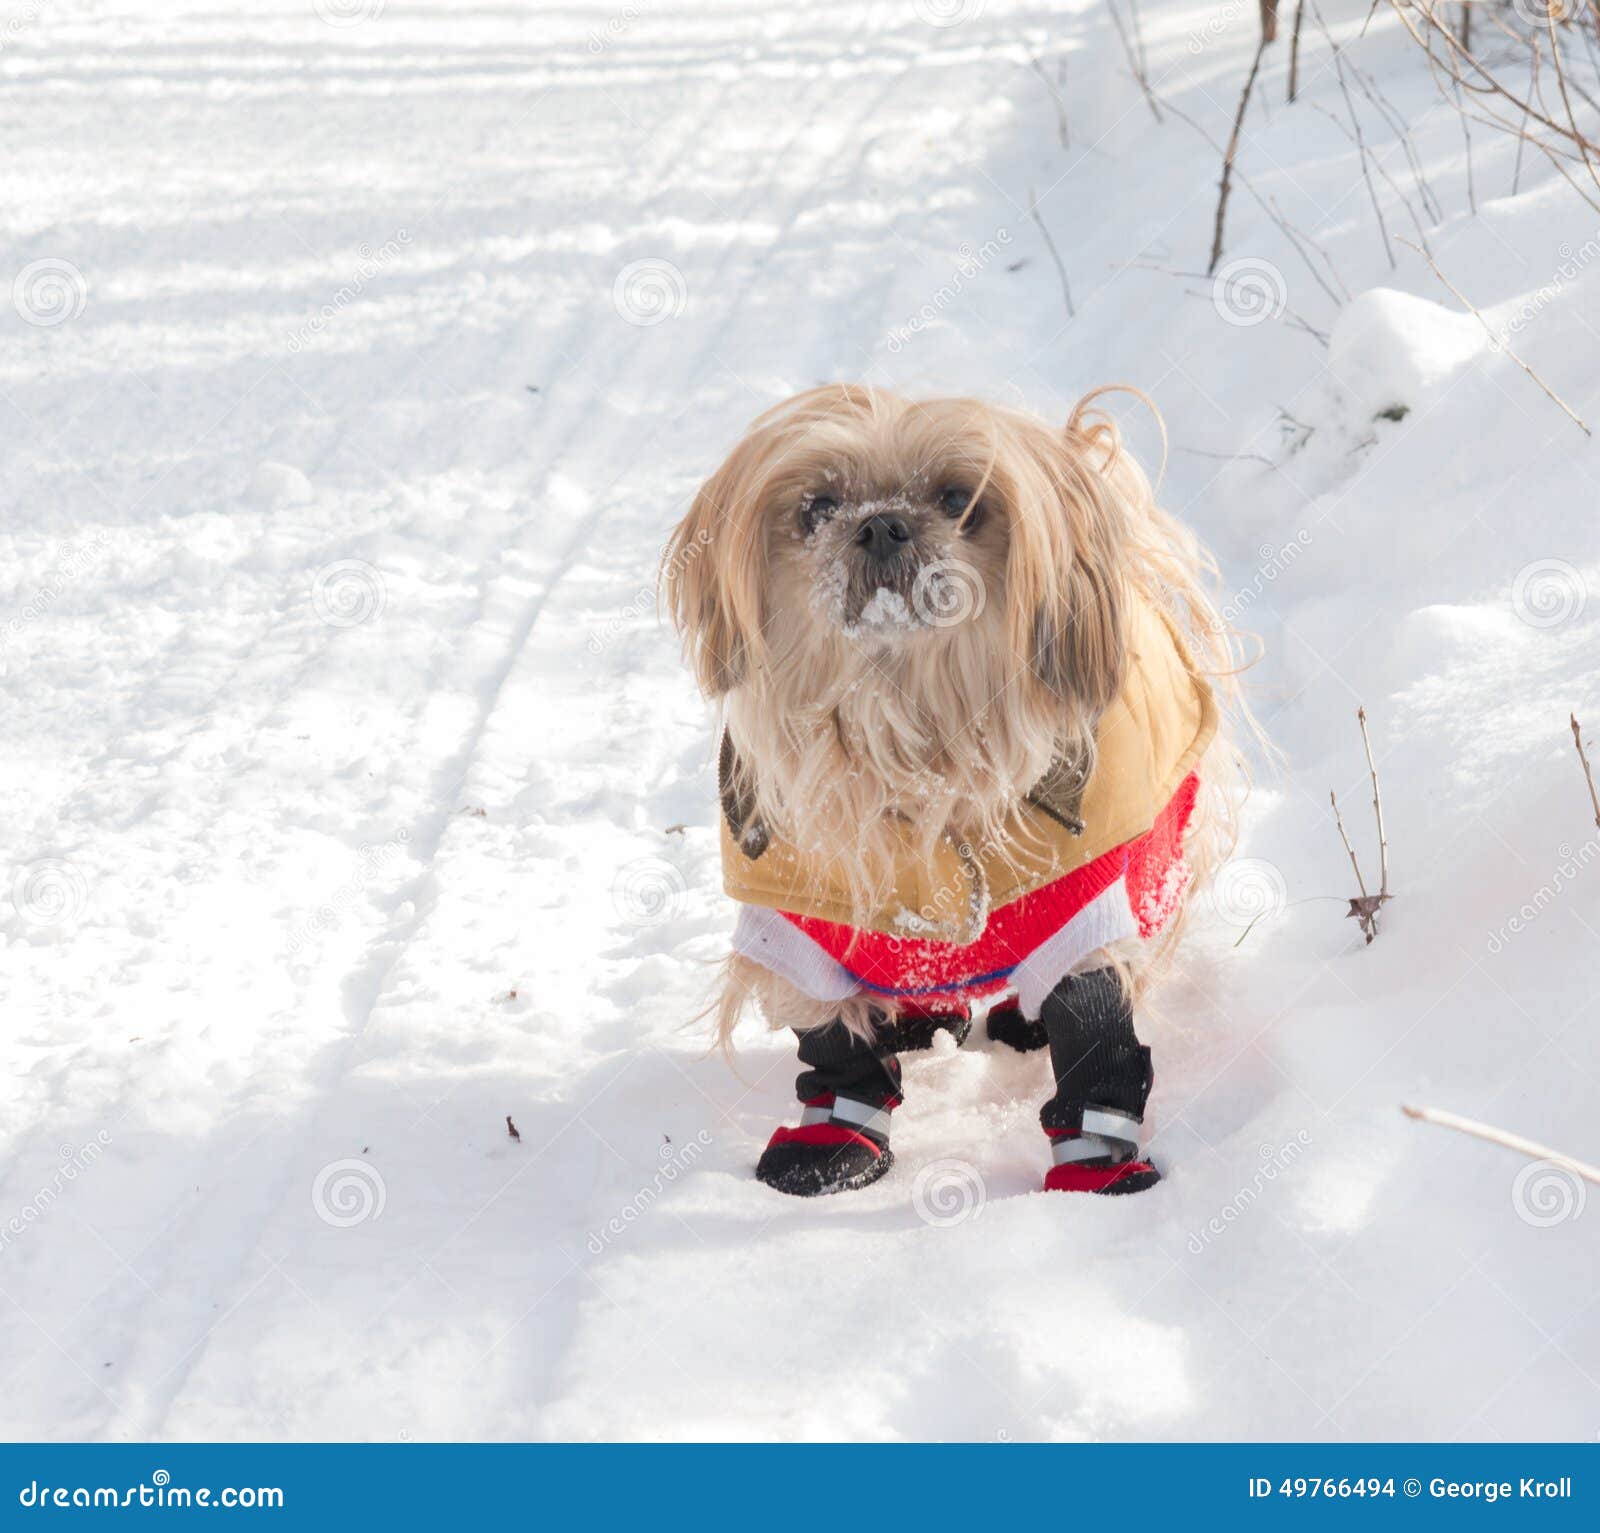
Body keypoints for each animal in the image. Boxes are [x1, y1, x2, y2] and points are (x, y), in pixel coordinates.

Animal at [662, 384, 1248, 1203]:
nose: (880, 522)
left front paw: (1099, 1170)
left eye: (957, 499)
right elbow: (834, 1044)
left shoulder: (1078, 908)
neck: (909, 732)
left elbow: (1097, 1035)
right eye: (817, 507)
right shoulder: (801, 924)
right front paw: (832, 1145)